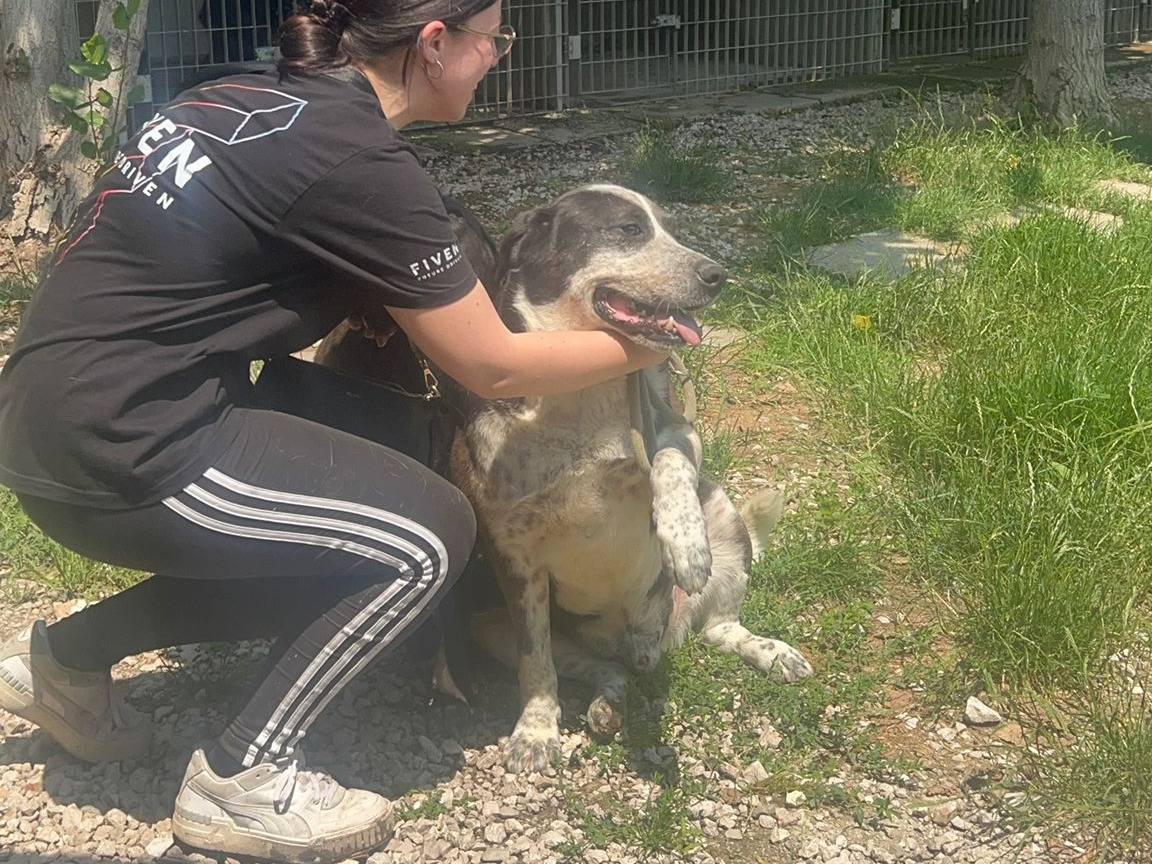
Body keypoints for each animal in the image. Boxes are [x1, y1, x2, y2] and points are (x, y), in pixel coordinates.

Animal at [444, 186, 815, 774]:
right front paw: (536, 731)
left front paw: (683, 543)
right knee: (599, 668)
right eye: (627, 230)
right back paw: (606, 703)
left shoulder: (678, 430)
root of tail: (648, 644)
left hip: (724, 517)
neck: (576, 391)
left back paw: (771, 651)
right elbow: (536, 663)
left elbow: (668, 464)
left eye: (671, 228)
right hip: (490, 622)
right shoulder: (513, 558)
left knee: (722, 626)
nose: (717, 275)